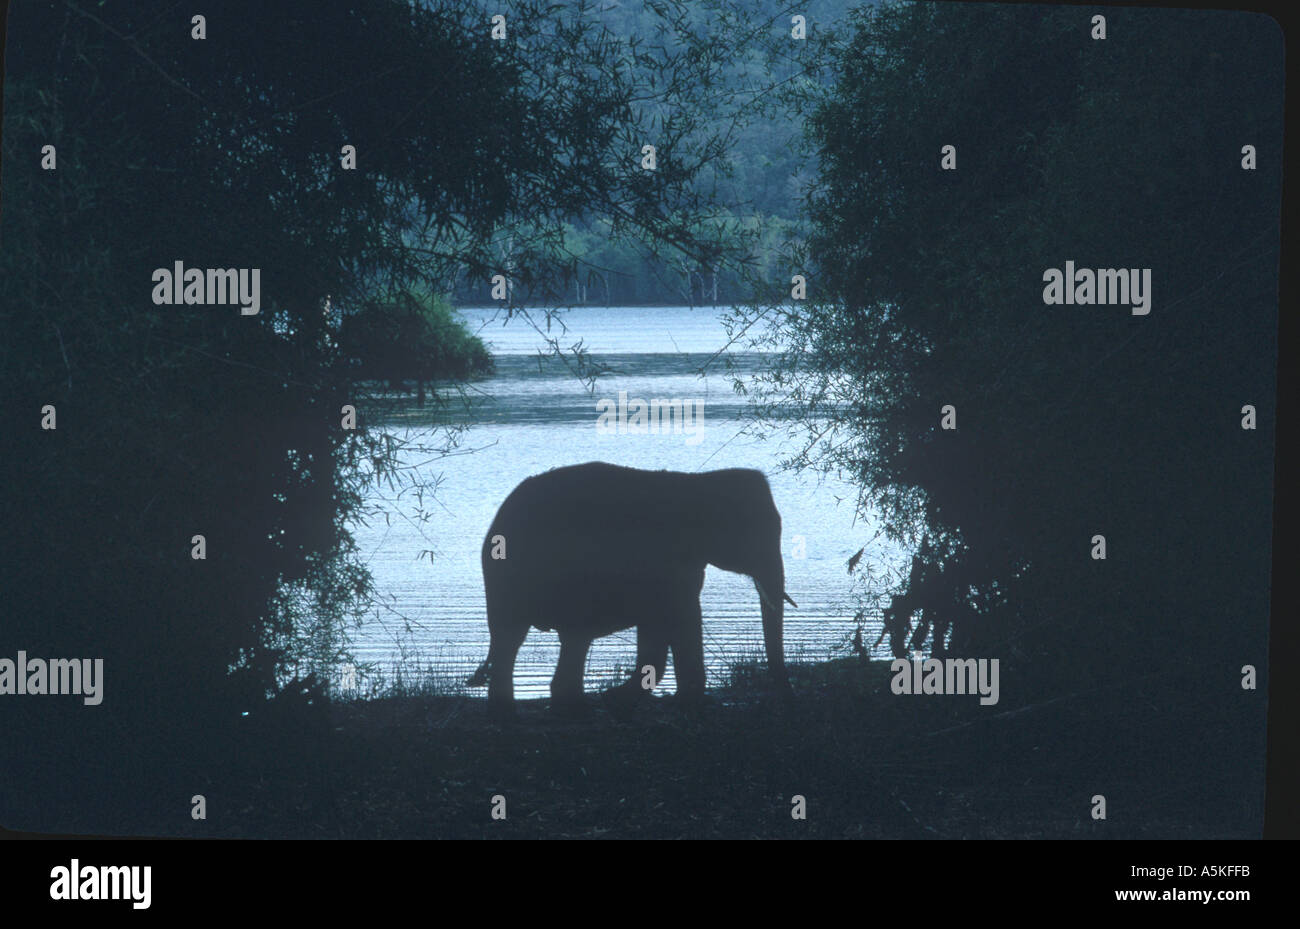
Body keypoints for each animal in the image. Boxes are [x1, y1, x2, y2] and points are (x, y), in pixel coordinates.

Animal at [467, 462, 790, 717]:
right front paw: (689, 703)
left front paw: (622, 697)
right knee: (544, 635)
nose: (781, 689)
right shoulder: (670, 561)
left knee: (522, 638)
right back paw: (557, 710)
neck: (697, 482)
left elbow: (659, 623)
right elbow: (680, 616)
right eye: (758, 533)